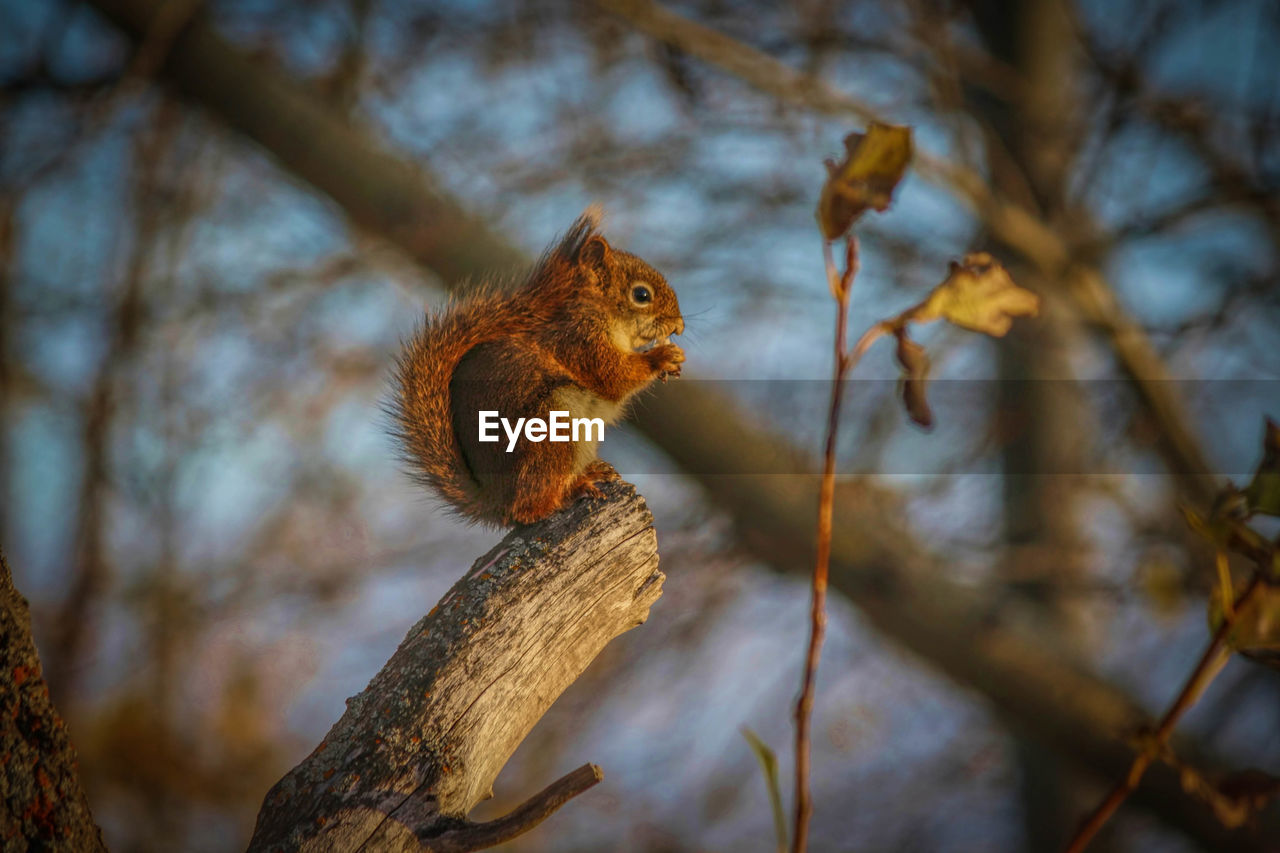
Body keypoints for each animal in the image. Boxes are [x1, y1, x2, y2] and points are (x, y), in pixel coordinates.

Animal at [389, 207, 686, 525]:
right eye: (642, 295)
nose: (679, 326)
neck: (600, 313)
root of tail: (497, 500)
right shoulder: (579, 341)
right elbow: (612, 375)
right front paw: (661, 357)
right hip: (551, 425)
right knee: (530, 507)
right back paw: (571, 491)